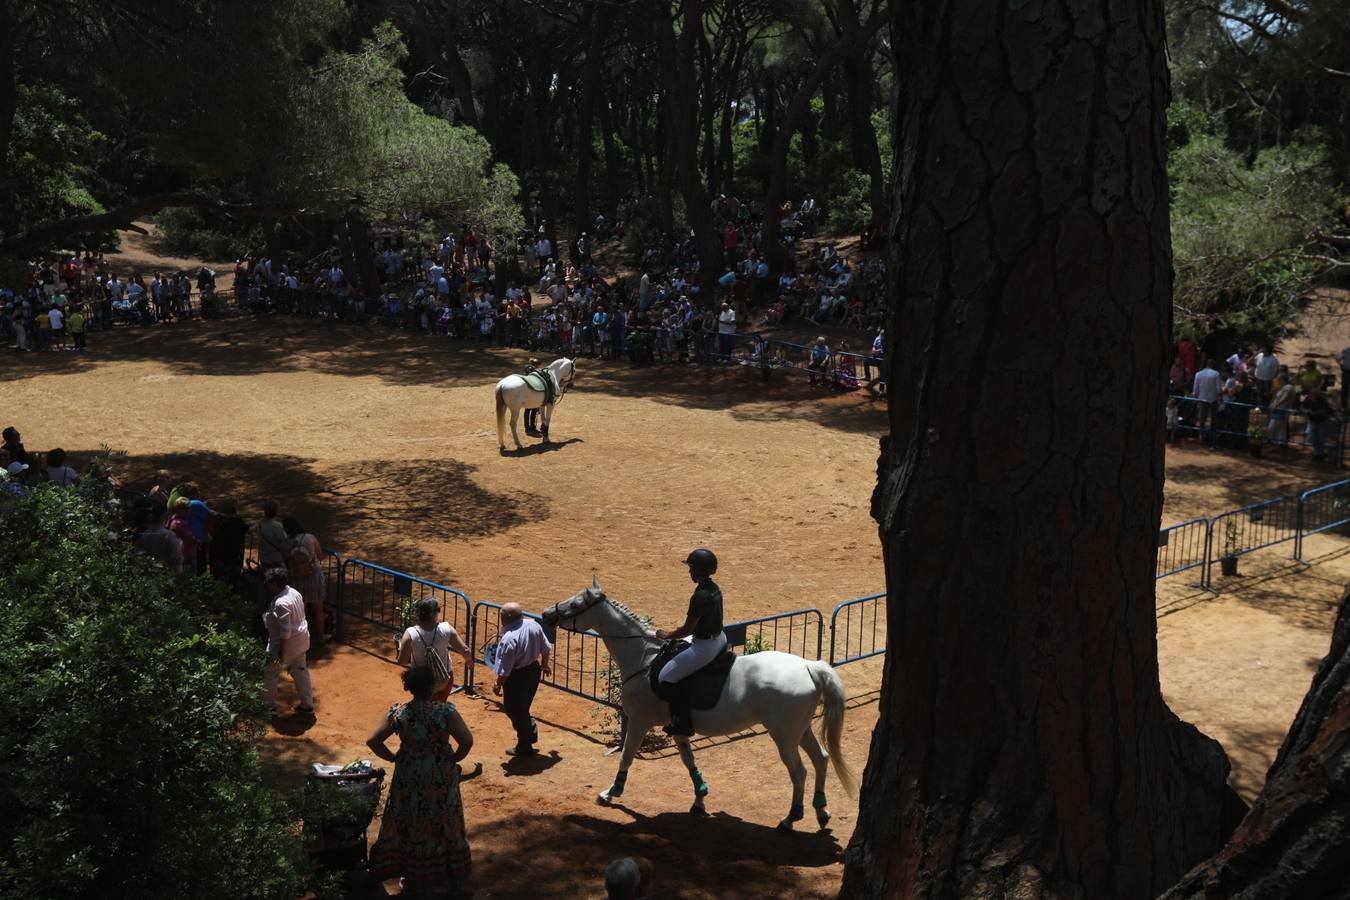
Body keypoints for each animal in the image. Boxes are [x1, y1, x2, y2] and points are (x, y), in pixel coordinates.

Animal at [542, 577, 858, 831]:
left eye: (577, 603)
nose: (546, 614)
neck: (645, 659)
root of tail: (809, 666)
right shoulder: (678, 727)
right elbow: (688, 761)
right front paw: (700, 800)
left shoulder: (640, 721)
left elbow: (626, 757)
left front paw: (610, 793)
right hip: (799, 730)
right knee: (821, 759)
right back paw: (821, 812)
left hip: (783, 735)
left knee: (799, 771)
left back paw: (790, 819)